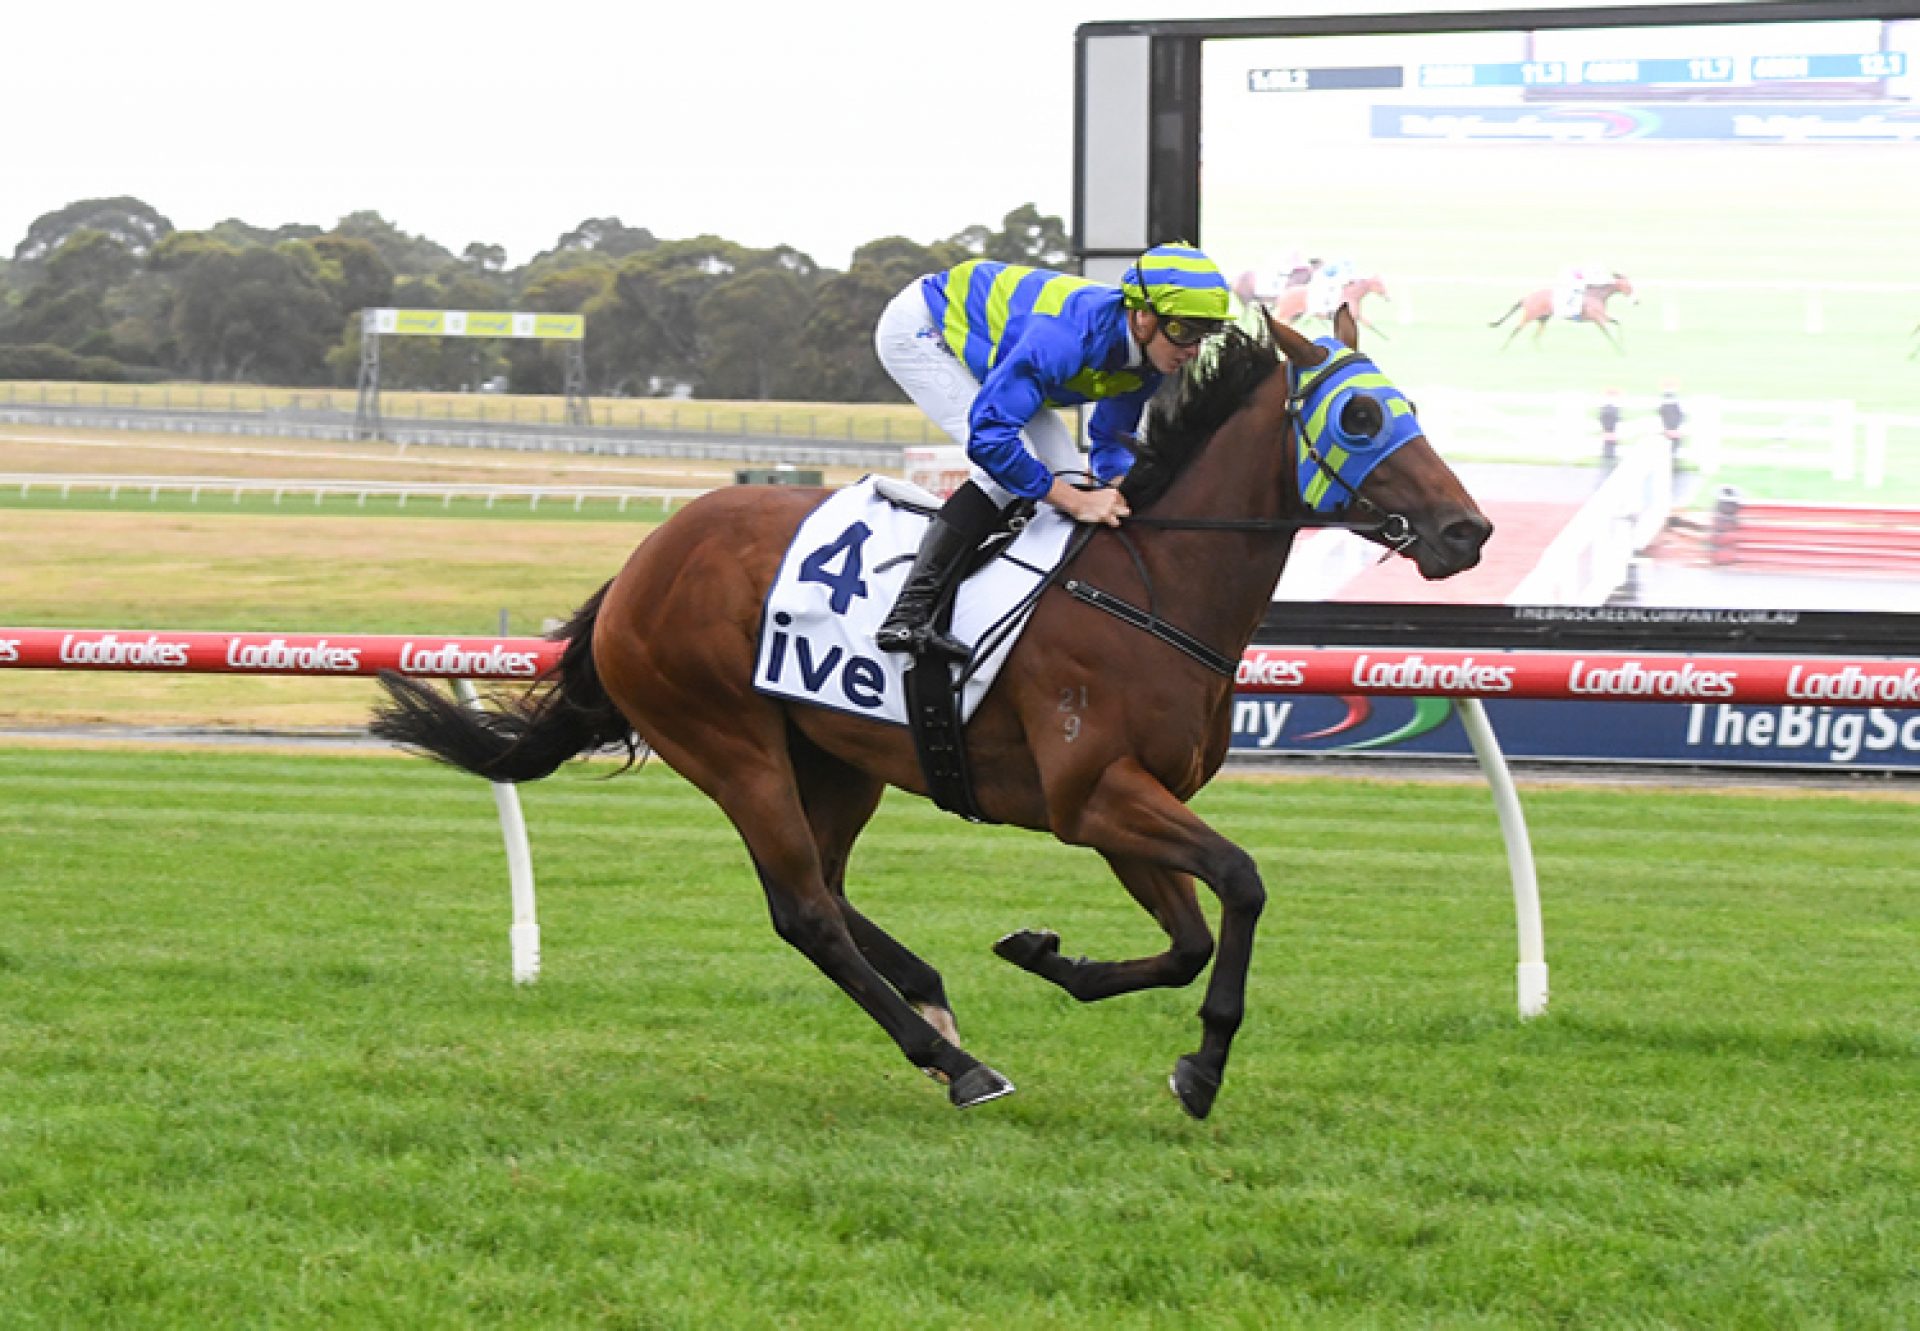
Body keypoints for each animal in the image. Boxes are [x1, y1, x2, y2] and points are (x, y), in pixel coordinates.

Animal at [366, 305, 1489, 1113]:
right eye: (1359, 417)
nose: (1467, 529)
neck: (1152, 584)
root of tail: (642, 564)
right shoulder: (1095, 794)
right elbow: (1243, 884)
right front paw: (1202, 1068)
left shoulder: (1118, 805)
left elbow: (1189, 937)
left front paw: (1050, 956)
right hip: (730, 744)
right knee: (804, 908)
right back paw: (954, 1062)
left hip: (835, 755)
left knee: (821, 886)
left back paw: (932, 993)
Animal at [1482, 274, 1635, 349]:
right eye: (1629, 287)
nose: (1636, 301)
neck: (1596, 295)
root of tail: (1527, 297)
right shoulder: (1598, 319)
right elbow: (1608, 332)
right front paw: (1619, 349)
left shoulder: (1602, 317)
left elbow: (1618, 323)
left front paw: (1622, 345)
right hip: (1530, 316)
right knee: (1516, 329)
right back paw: (1503, 348)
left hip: (1543, 318)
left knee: (1535, 336)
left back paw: (1540, 352)